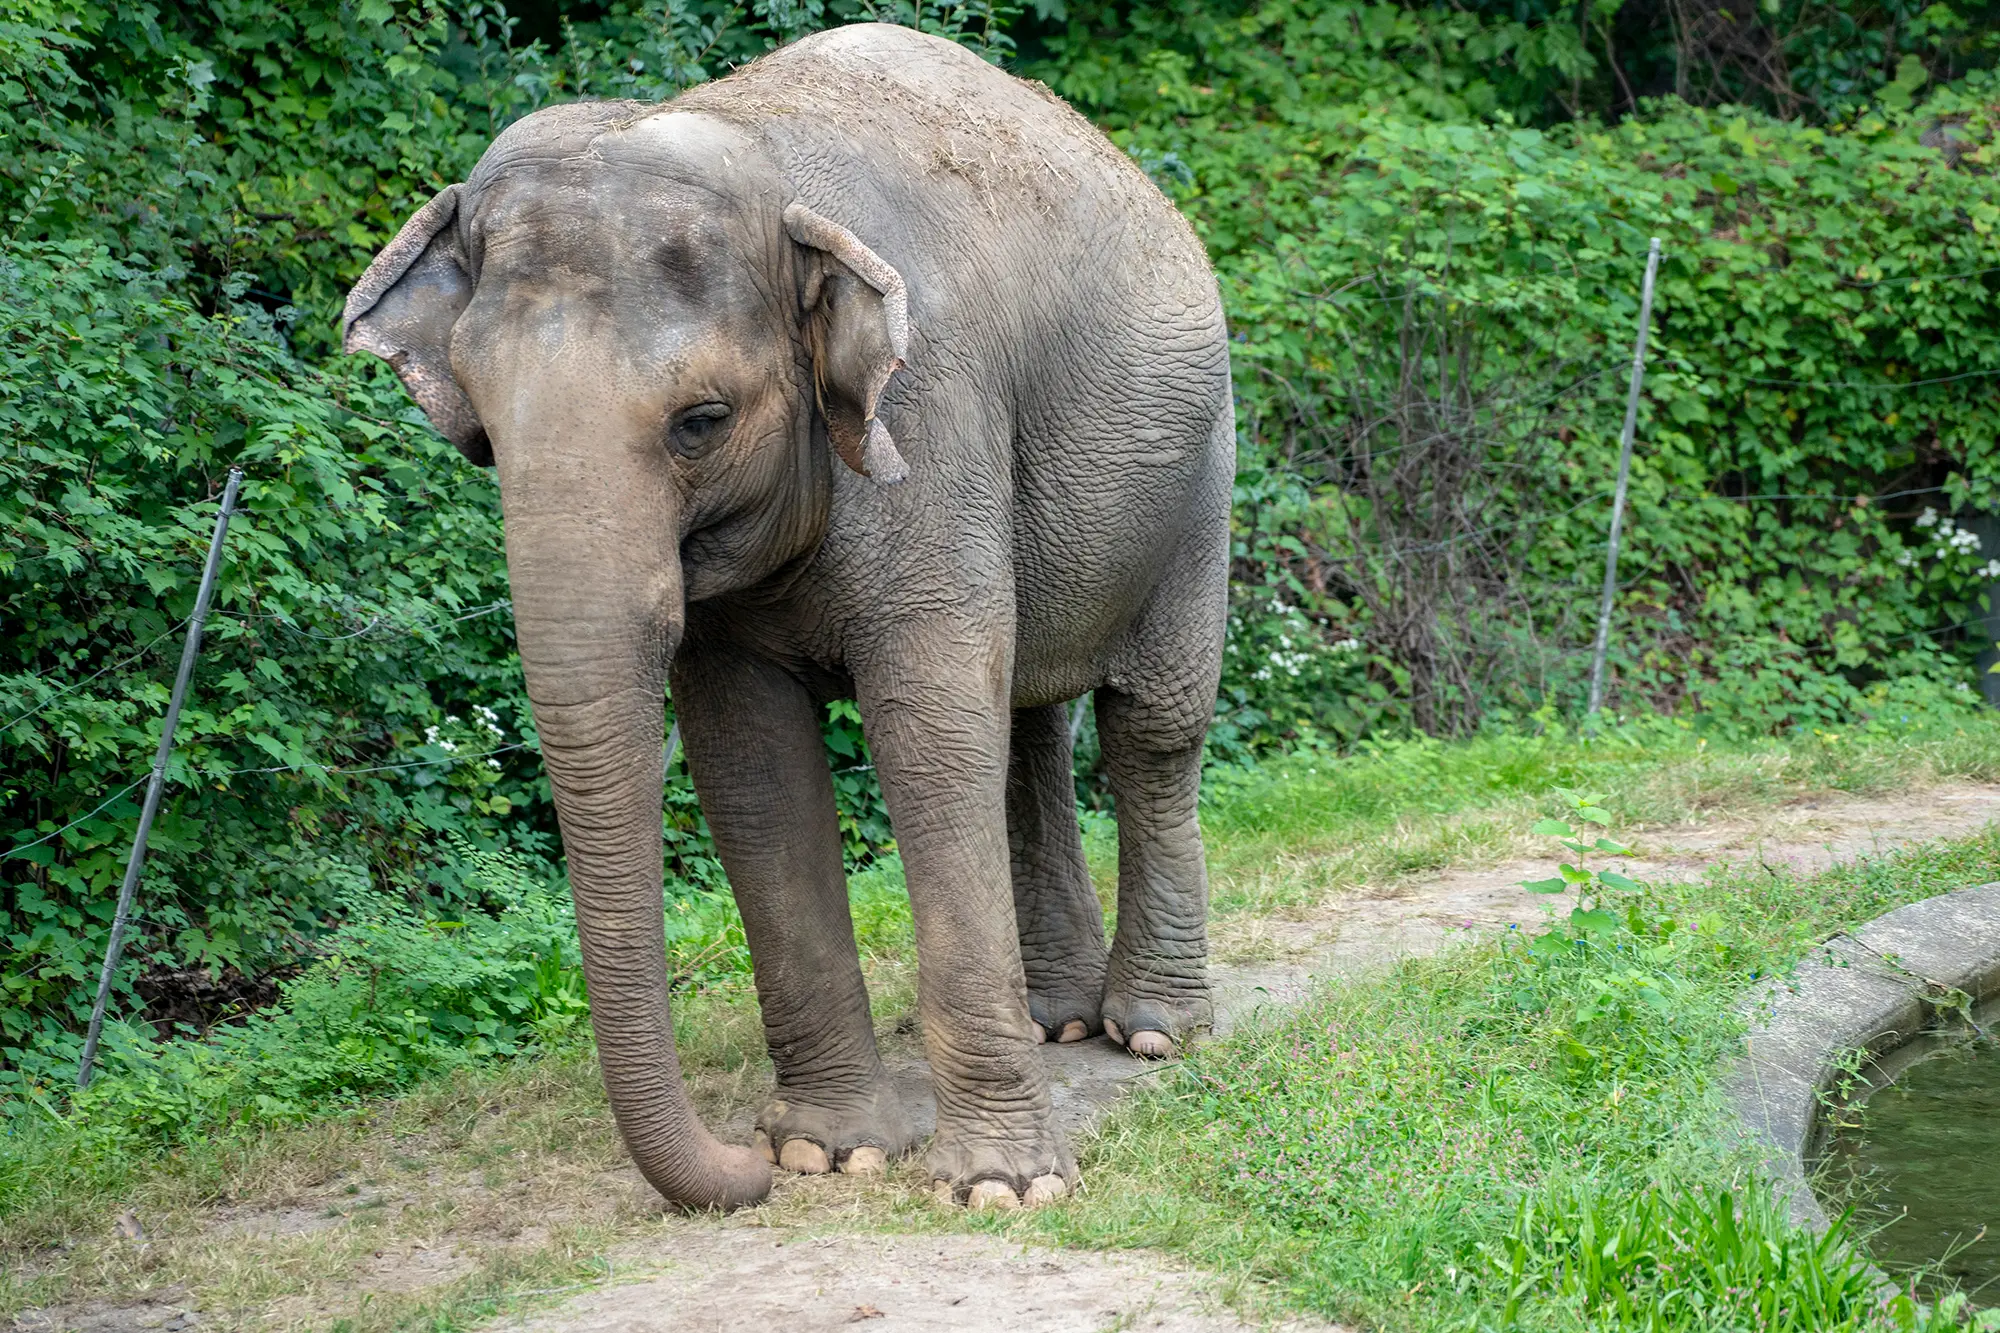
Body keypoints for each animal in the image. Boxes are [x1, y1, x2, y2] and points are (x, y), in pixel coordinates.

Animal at [344, 20, 1232, 1208]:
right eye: (481, 425)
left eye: (702, 421)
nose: (743, 1166)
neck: (759, 162)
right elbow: (755, 767)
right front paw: (828, 1150)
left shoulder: (934, 415)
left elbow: (926, 736)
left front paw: (1001, 1187)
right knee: (1029, 724)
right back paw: (1059, 1022)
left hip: (1201, 468)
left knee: (1151, 727)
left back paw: (1153, 1032)